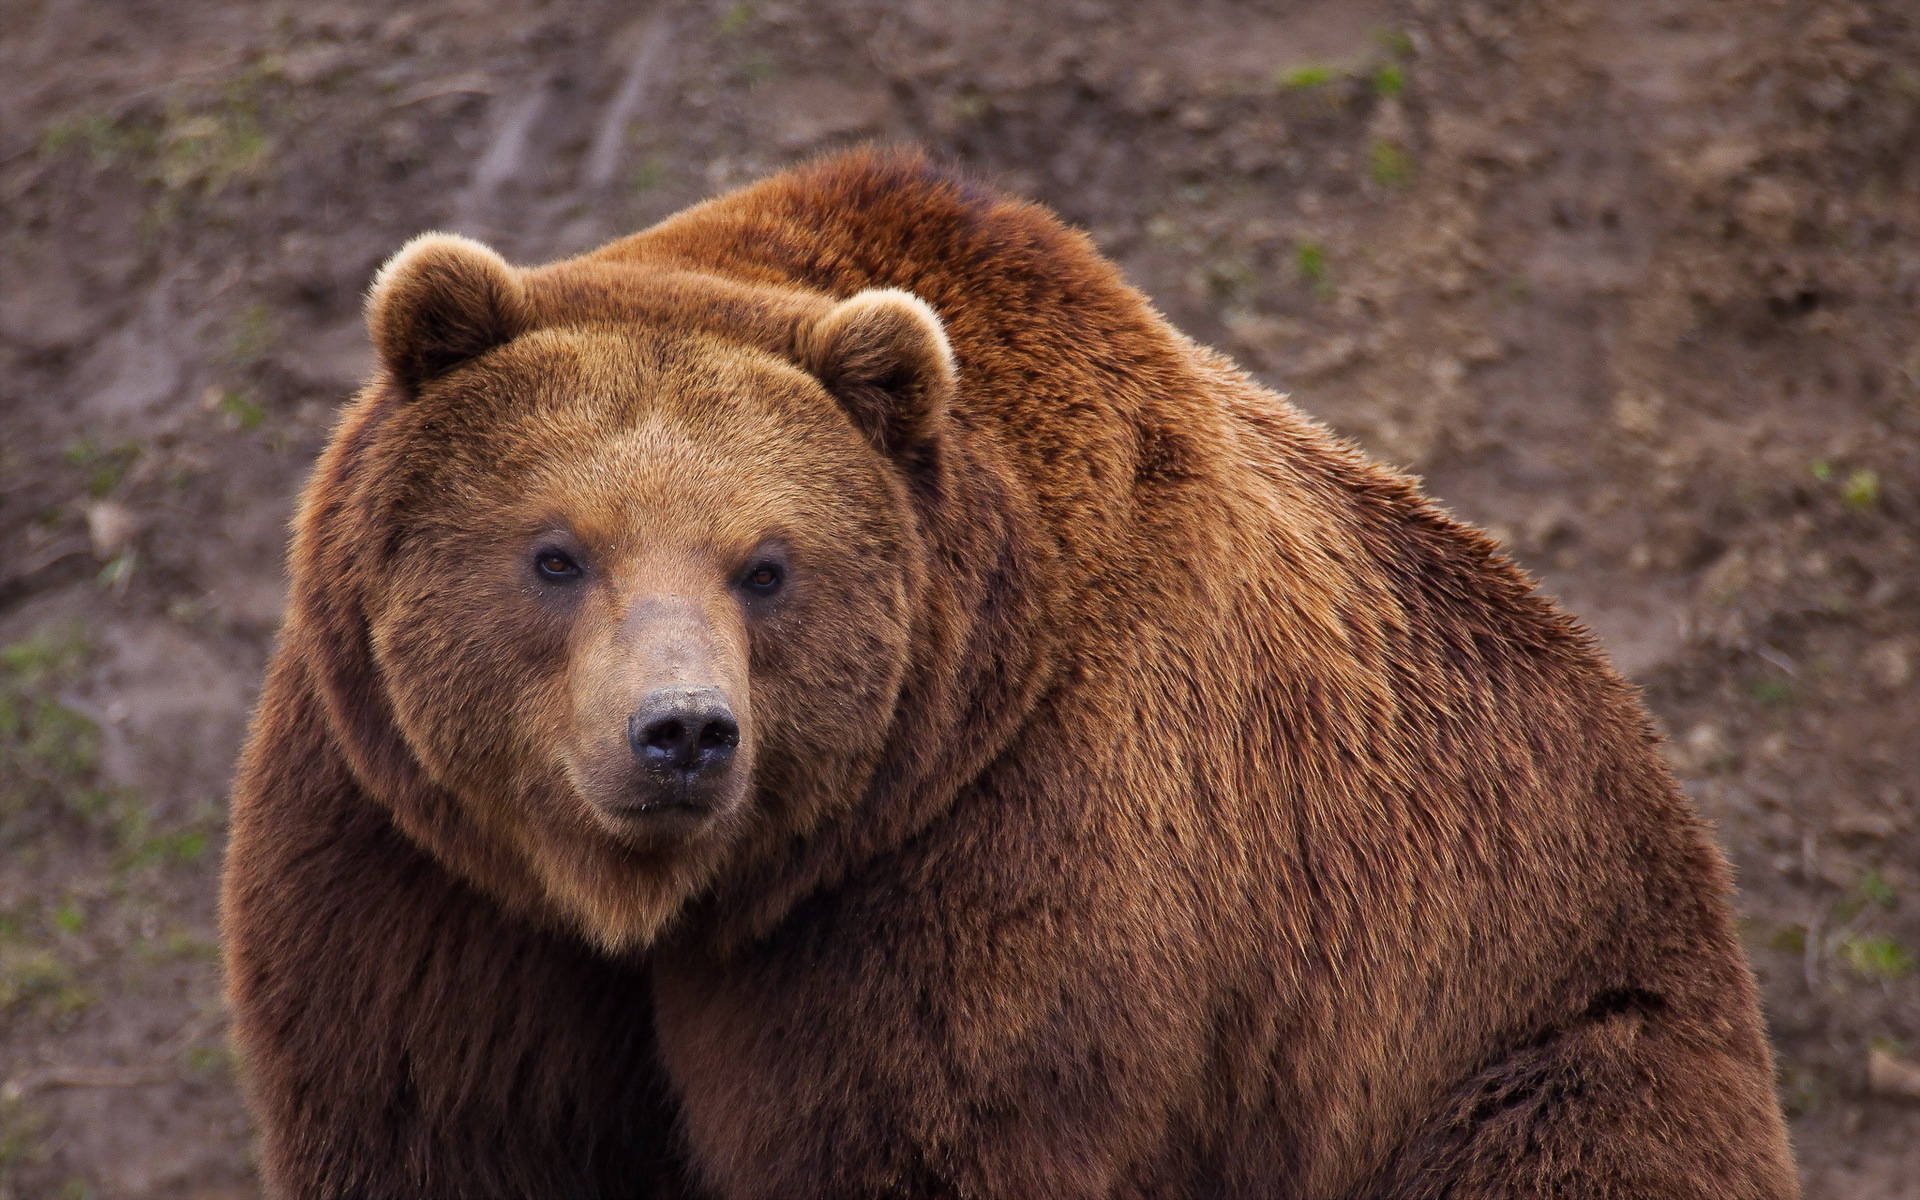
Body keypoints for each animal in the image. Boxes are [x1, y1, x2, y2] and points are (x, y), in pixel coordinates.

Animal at [224, 144, 1797, 1190]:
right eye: (558, 553)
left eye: (767, 565)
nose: (681, 733)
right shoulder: (422, 859)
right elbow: (437, 1115)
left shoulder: (994, 846)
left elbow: (919, 1126)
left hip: (1504, 1026)